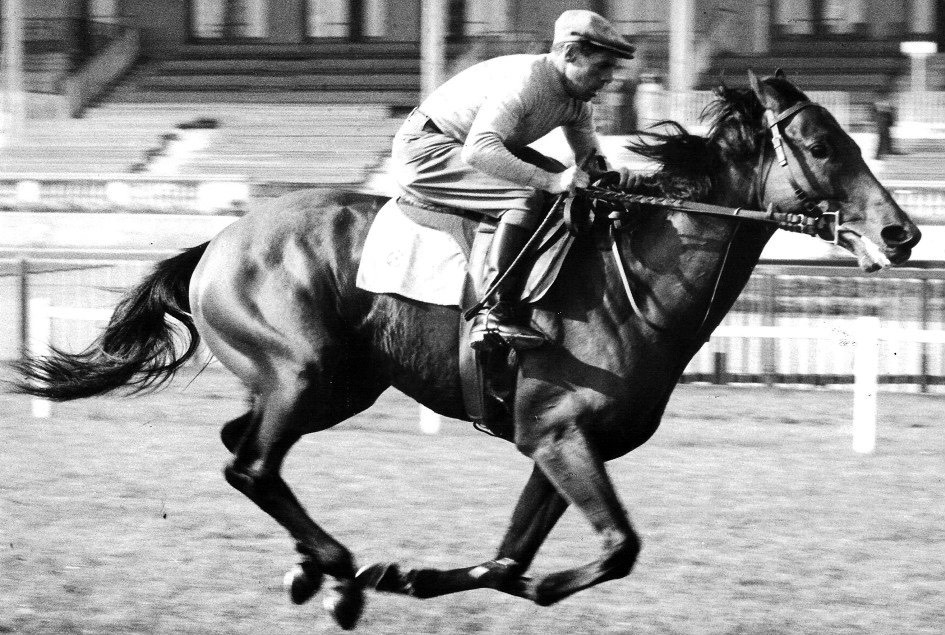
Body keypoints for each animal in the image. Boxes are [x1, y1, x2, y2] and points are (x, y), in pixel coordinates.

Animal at [14, 71, 921, 629]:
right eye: (821, 145)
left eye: (852, 137)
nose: (901, 233)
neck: (637, 280)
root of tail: (218, 240)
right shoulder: (556, 431)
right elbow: (613, 548)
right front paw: (508, 581)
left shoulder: (561, 440)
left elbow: (507, 558)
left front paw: (415, 576)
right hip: (304, 373)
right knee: (253, 464)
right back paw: (336, 570)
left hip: (336, 385)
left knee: (242, 446)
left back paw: (317, 570)